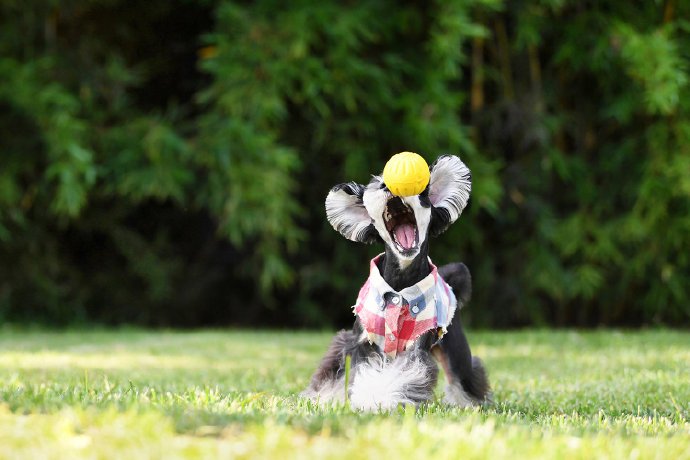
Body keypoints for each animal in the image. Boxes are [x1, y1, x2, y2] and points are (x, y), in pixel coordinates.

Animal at [300, 155, 490, 410]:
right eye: (376, 184)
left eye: (423, 194)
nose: (389, 186)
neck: (400, 283)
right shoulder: (360, 342)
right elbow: (346, 373)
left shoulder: (415, 349)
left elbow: (401, 376)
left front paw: (379, 399)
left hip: (455, 350)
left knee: (464, 376)